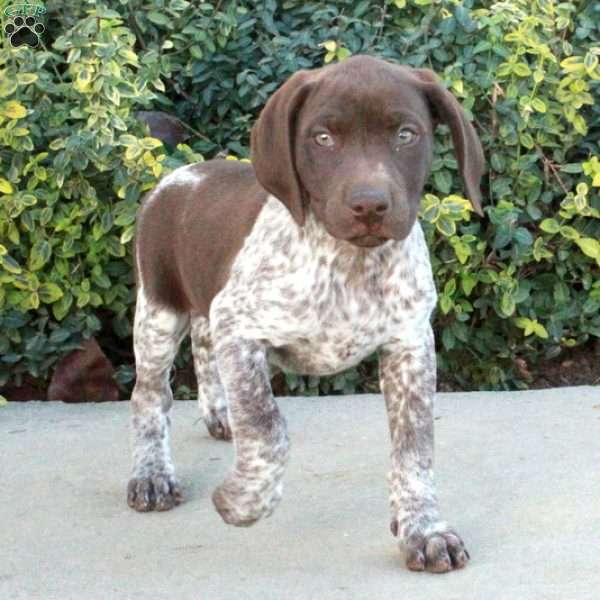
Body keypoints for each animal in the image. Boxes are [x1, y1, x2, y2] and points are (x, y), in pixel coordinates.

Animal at [126, 55, 482, 572]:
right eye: (323, 138)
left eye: (405, 134)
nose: (370, 204)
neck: (350, 264)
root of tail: (179, 175)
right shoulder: (241, 328)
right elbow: (267, 426)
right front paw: (243, 500)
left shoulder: (410, 347)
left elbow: (414, 447)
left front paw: (425, 529)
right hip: (158, 308)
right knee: (150, 396)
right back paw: (152, 474)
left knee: (204, 345)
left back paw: (219, 413)